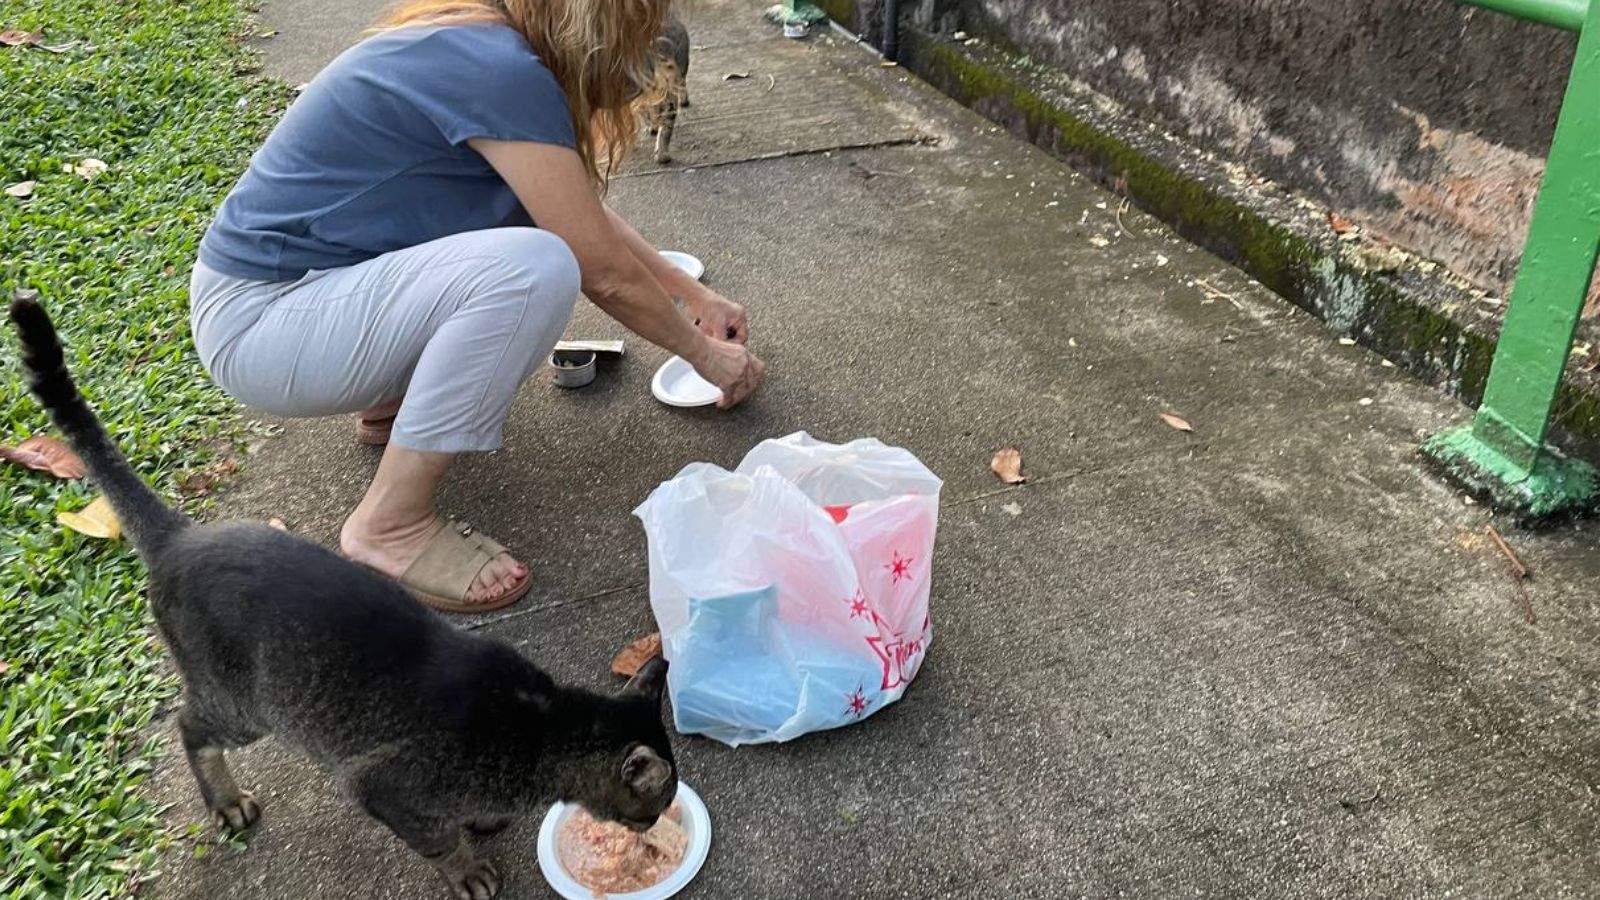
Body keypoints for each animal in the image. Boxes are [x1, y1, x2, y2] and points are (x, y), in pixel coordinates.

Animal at [10, 296, 675, 896]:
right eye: (654, 805)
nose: (655, 826)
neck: (538, 729)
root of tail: (182, 535)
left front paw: (484, 821)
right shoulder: (379, 786)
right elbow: (438, 838)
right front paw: (467, 868)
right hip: (246, 706)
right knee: (189, 724)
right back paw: (224, 799)